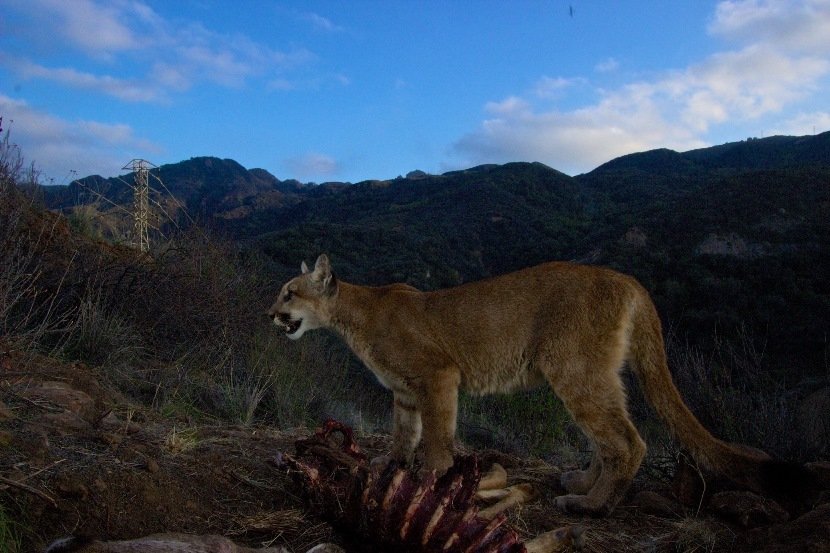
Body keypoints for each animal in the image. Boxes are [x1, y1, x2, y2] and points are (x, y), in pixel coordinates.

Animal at [270, 253, 796, 512]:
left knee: (627, 441)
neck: (355, 316)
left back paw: (590, 505)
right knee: (607, 437)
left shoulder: (438, 375)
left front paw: (432, 480)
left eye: (290, 293)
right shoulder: (404, 392)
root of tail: (627, 279)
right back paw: (582, 482)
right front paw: (391, 465)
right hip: (594, 374)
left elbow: (438, 439)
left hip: (573, 369)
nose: (270, 314)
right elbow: (404, 434)